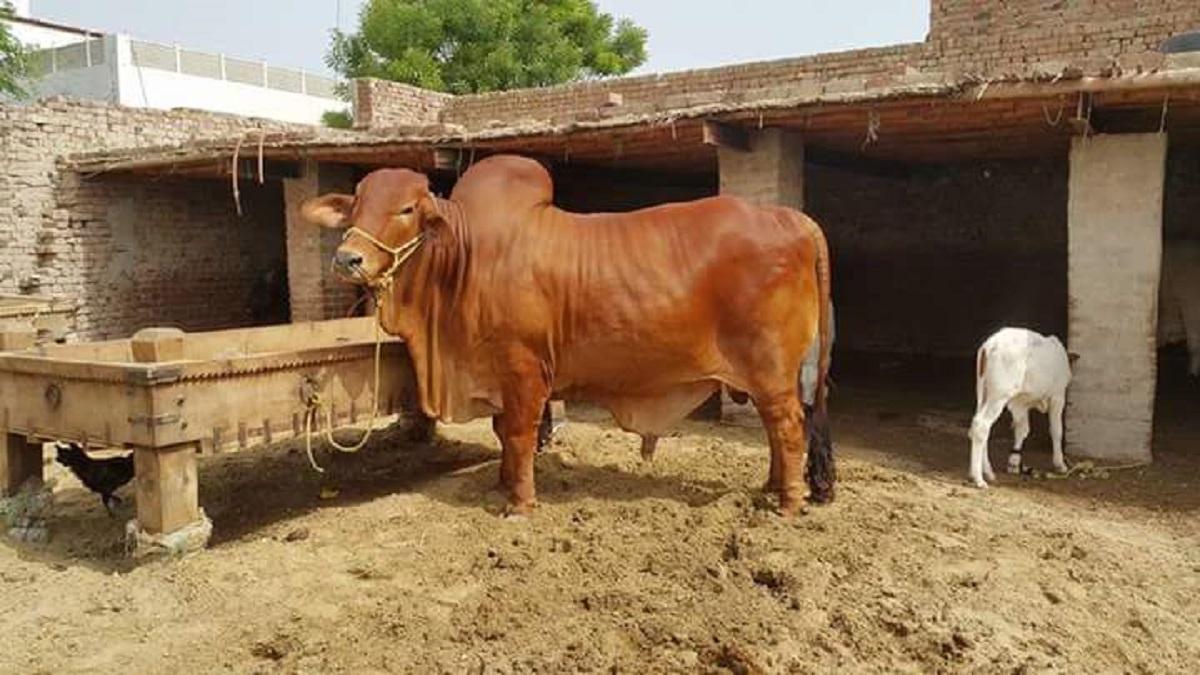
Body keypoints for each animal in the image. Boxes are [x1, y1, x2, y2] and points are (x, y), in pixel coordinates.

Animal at [301, 155, 835, 516]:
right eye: (355, 206)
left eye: (407, 209)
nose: (348, 258)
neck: (462, 260)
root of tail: (789, 216)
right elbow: (502, 433)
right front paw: (502, 486)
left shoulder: (523, 369)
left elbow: (518, 434)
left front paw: (520, 504)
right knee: (777, 430)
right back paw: (770, 489)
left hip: (770, 369)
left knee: (788, 427)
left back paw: (788, 503)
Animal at [969, 327, 1078, 488]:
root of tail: (990, 344)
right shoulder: (1058, 396)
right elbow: (1056, 430)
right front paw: (1060, 464)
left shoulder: (1020, 403)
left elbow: (1022, 430)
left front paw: (1014, 463)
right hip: (999, 395)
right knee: (981, 425)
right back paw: (978, 479)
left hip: (984, 393)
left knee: (979, 426)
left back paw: (987, 472)